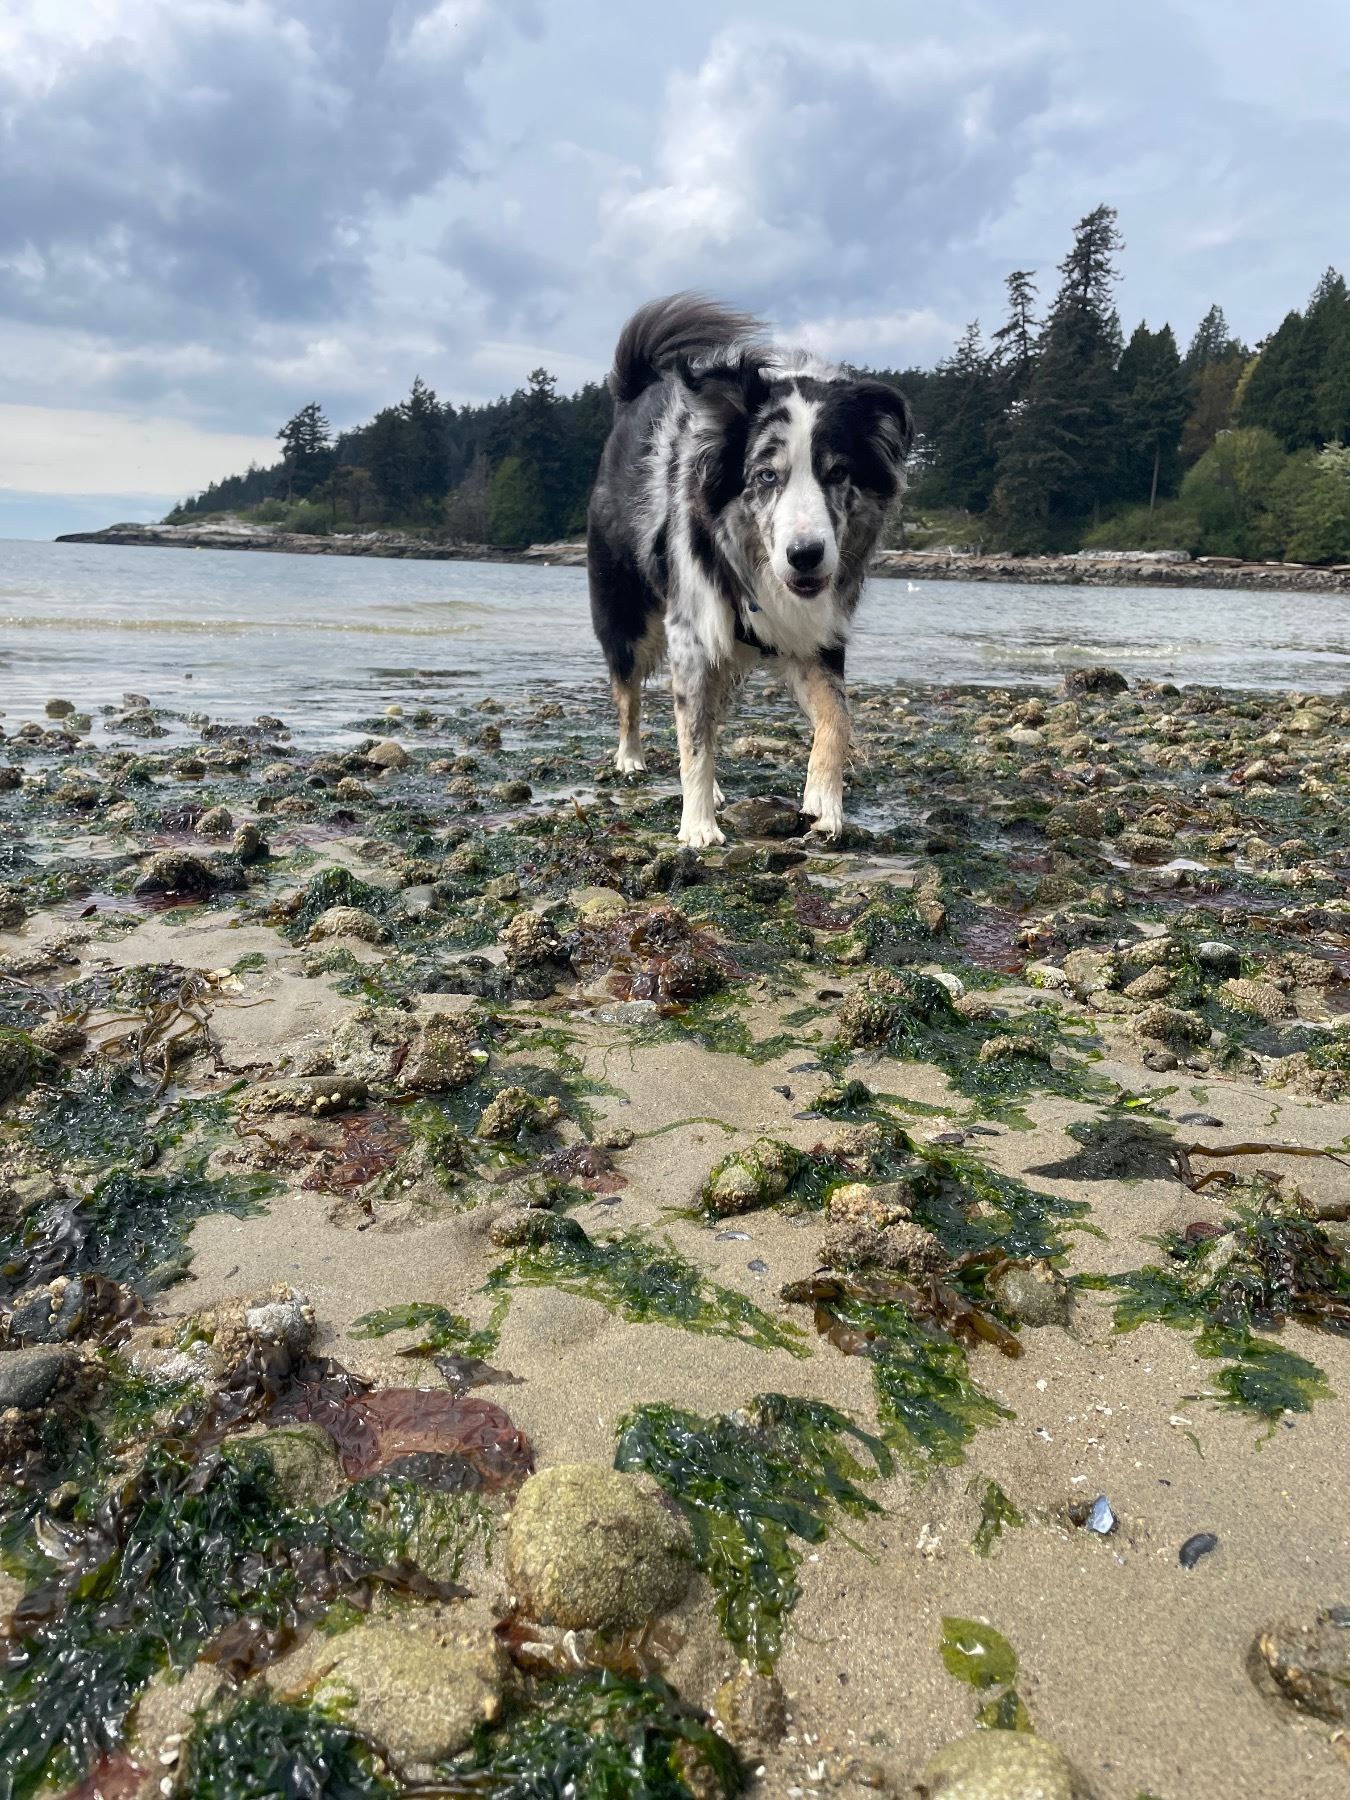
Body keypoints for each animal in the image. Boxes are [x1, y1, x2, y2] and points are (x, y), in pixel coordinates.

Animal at [587, 293, 913, 847]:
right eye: (765, 476)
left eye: (838, 472)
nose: (806, 555)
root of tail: (632, 396)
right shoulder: (692, 633)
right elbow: (694, 738)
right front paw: (698, 826)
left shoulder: (816, 636)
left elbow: (838, 717)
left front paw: (824, 804)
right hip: (626, 612)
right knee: (628, 690)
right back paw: (631, 758)